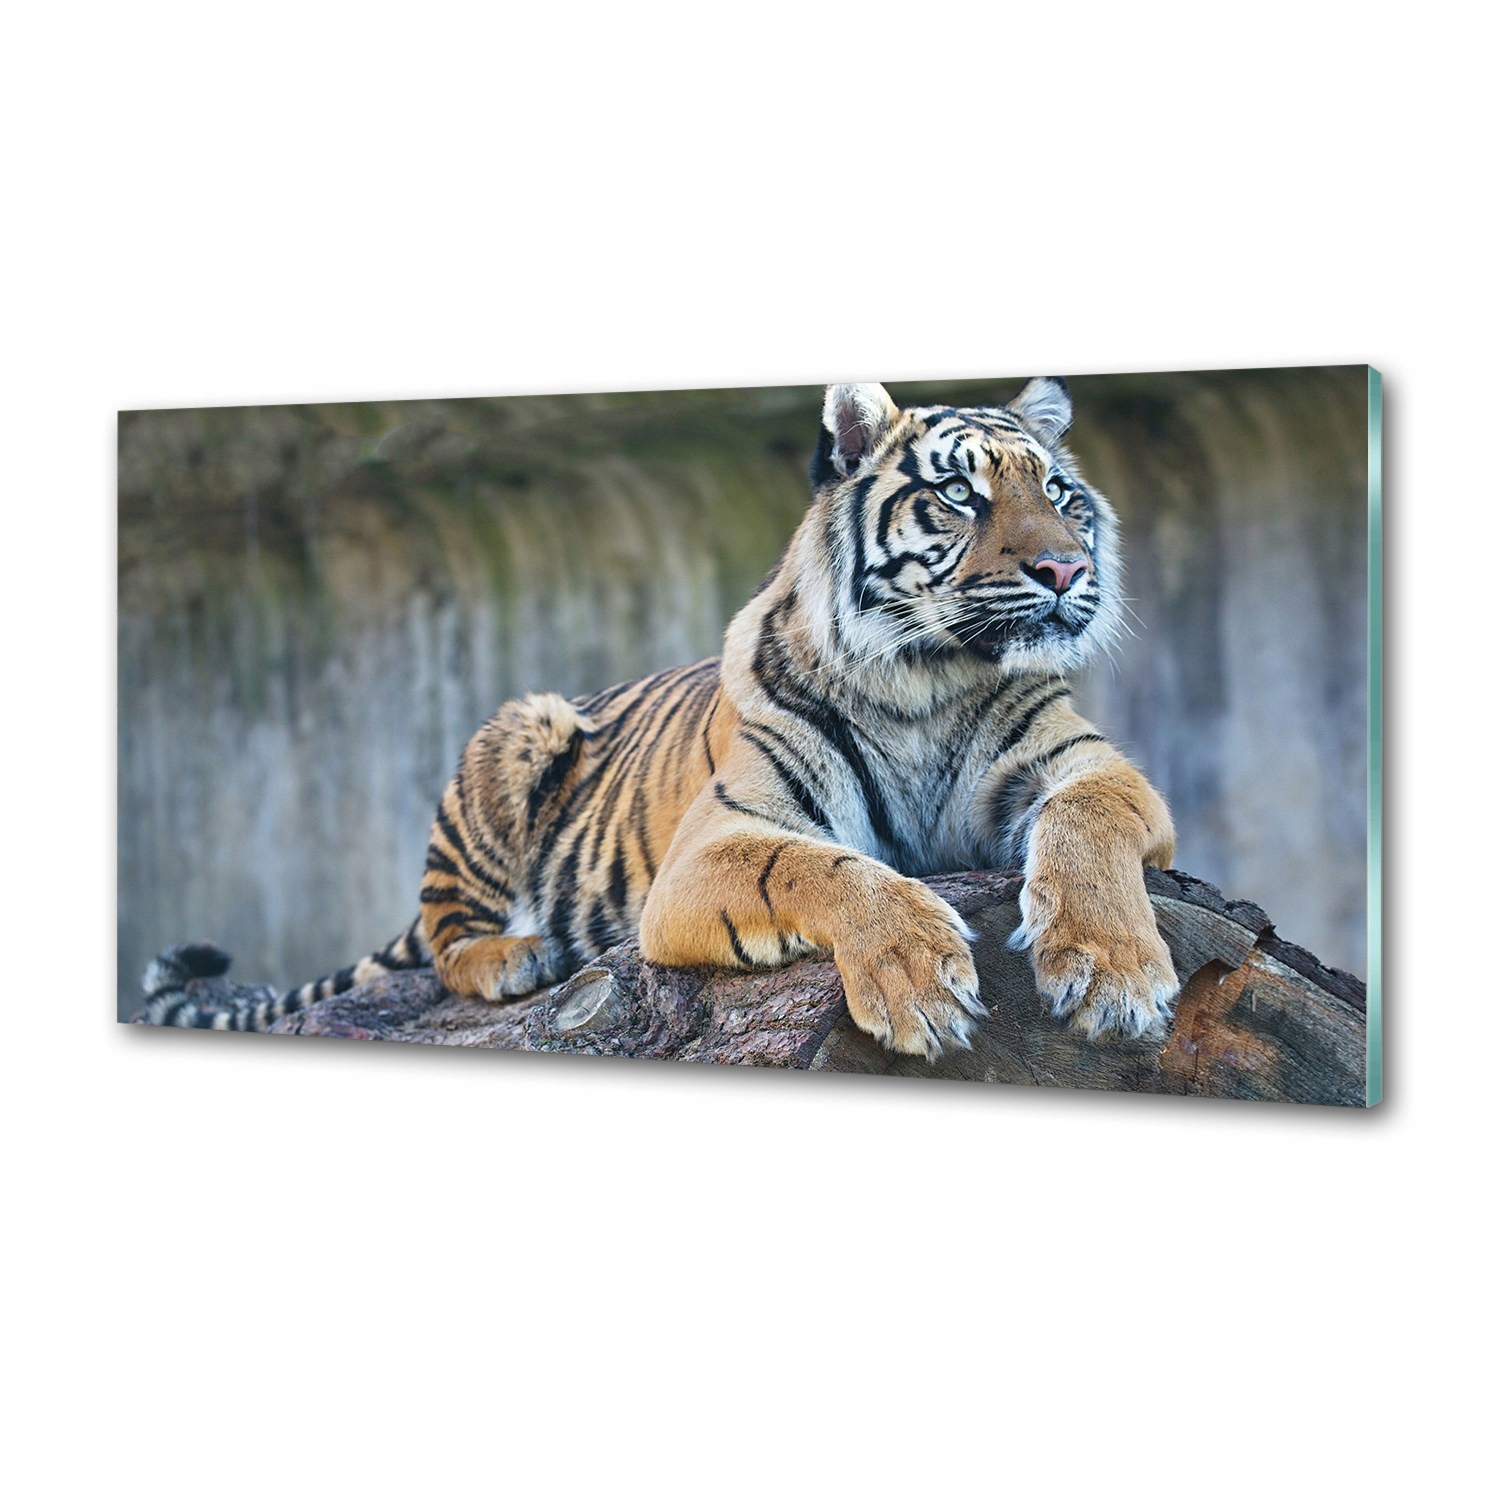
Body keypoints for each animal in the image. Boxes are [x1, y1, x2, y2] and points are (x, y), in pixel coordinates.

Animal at [140, 378, 1179, 1059]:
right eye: (960, 493)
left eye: (1058, 493)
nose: (1065, 570)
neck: (924, 682)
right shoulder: (715, 844)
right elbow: (825, 870)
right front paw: (916, 978)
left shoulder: (1090, 766)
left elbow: (1089, 824)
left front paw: (1114, 975)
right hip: (516, 729)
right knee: (441, 939)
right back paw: (513, 958)